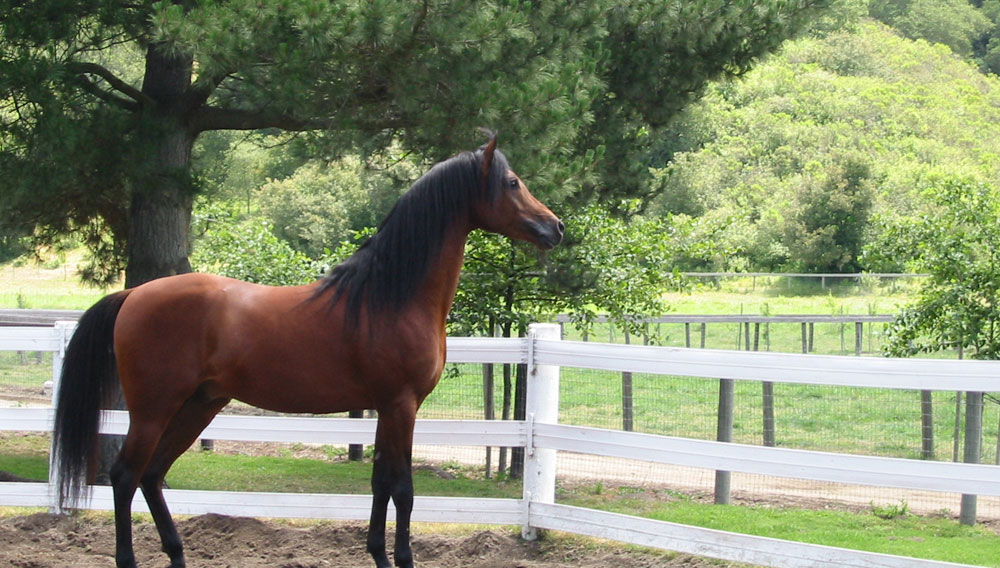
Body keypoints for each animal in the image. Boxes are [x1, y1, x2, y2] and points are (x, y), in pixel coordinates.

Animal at [52, 138, 564, 568]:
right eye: (512, 182)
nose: (555, 227)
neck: (388, 296)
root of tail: (133, 296)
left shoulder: (385, 408)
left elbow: (379, 482)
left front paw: (378, 554)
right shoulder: (402, 405)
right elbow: (403, 488)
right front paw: (402, 559)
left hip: (199, 404)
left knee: (153, 475)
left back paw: (177, 554)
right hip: (154, 409)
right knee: (125, 476)